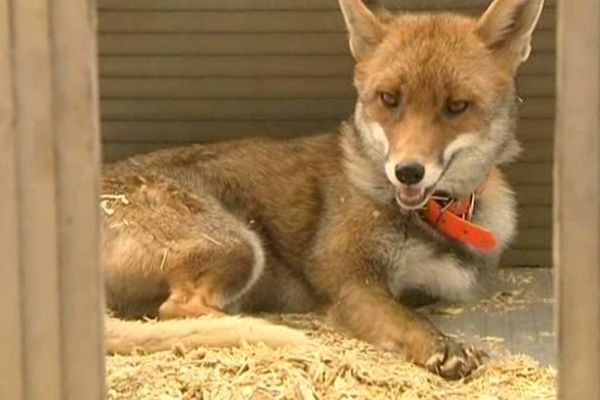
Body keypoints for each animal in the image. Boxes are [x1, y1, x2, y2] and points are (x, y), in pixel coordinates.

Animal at [102, 0, 544, 380]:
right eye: (389, 99)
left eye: (456, 106)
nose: (408, 172)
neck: (436, 217)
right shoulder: (349, 276)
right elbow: (405, 319)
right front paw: (440, 346)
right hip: (239, 245)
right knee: (178, 308)